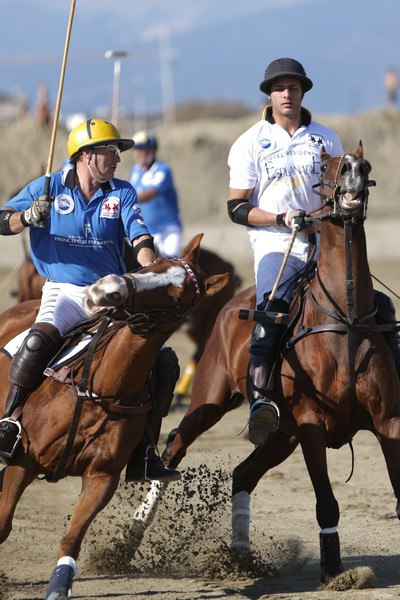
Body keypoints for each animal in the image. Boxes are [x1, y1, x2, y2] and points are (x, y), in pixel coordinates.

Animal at [0, 236, 228, 600]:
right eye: (153, 265)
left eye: (177, 295)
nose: (107, 288)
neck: (99, 389)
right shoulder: (24, 459)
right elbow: (3, 524)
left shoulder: (102, 477)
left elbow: (72, 536)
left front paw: (59, 585)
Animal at [136, 143, 398, 584]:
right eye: (327, 168)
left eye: (365, 164)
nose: (353, 172)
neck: (344, 318)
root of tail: (234, 299)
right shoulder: (311, 424)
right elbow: (326, 501)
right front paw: (334, 570)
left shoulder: (386, 421)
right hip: (213, 398)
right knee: (175, 445)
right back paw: (130, 535)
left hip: (281, 435)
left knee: (243, 474)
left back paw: (240, 556)